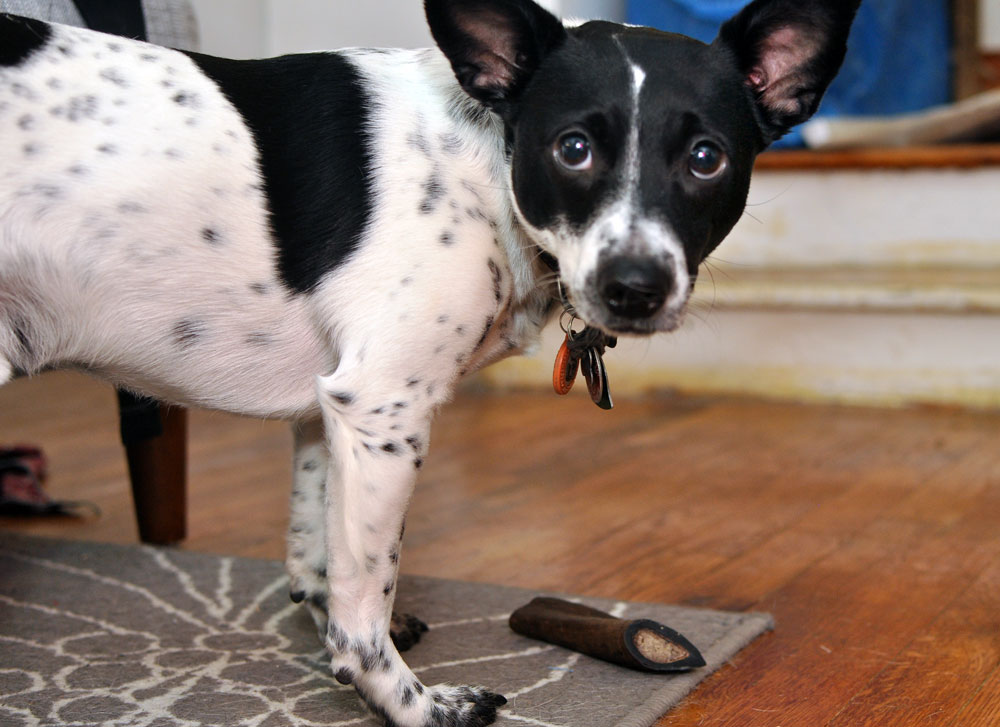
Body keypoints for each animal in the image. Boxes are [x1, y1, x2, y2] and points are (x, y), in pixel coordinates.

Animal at [0, 1, 860, 724]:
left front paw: (324, 611)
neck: (480, 155)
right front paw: (409, 703)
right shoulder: (383, 406)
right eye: (573, 149)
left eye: (707, 158)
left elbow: (320, 554)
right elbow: (364, 608)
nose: (635, 287)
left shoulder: (329, 409)